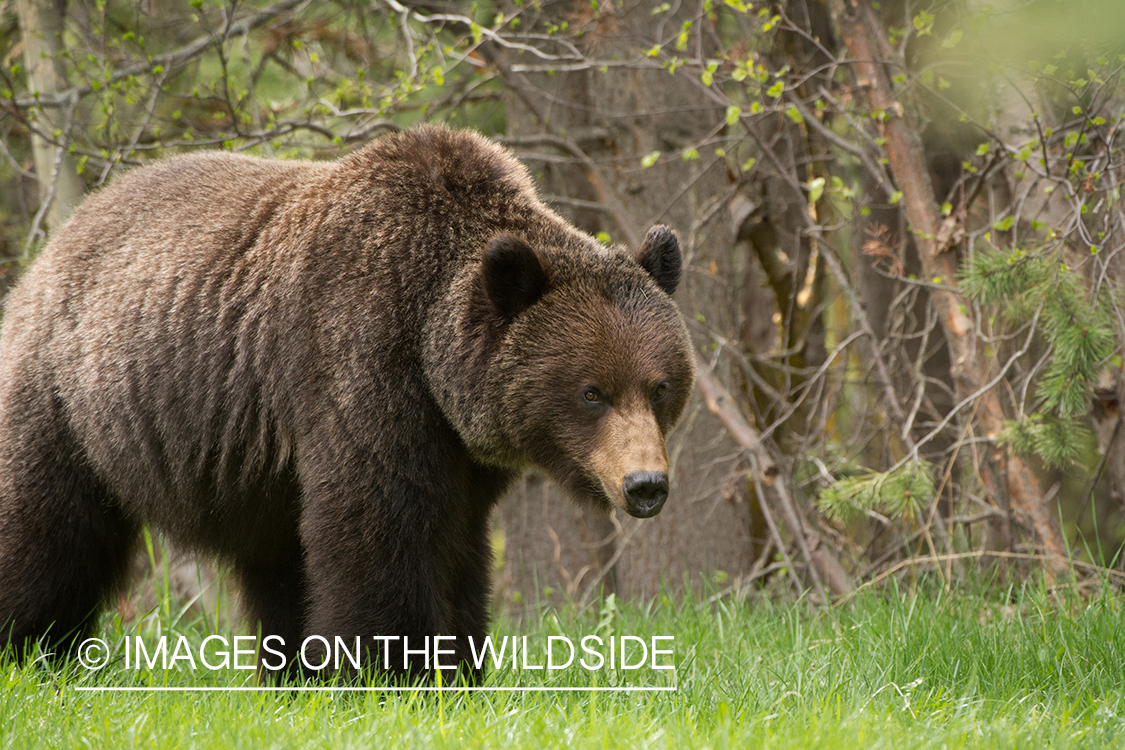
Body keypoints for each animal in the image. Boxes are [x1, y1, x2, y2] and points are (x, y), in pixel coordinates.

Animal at [0, 124, 693, 679]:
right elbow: (376, 525)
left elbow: (457, 548)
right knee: (45, 529)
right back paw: (32, 653)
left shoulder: (463, 454)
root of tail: (61, 236)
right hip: (72, 399)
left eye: (659, 387)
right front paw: (391, 675)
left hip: (253, 477)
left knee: (277, 563)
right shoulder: (360, 359)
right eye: (591, 392)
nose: (645, 485)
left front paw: (458, 673)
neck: (430, 346)